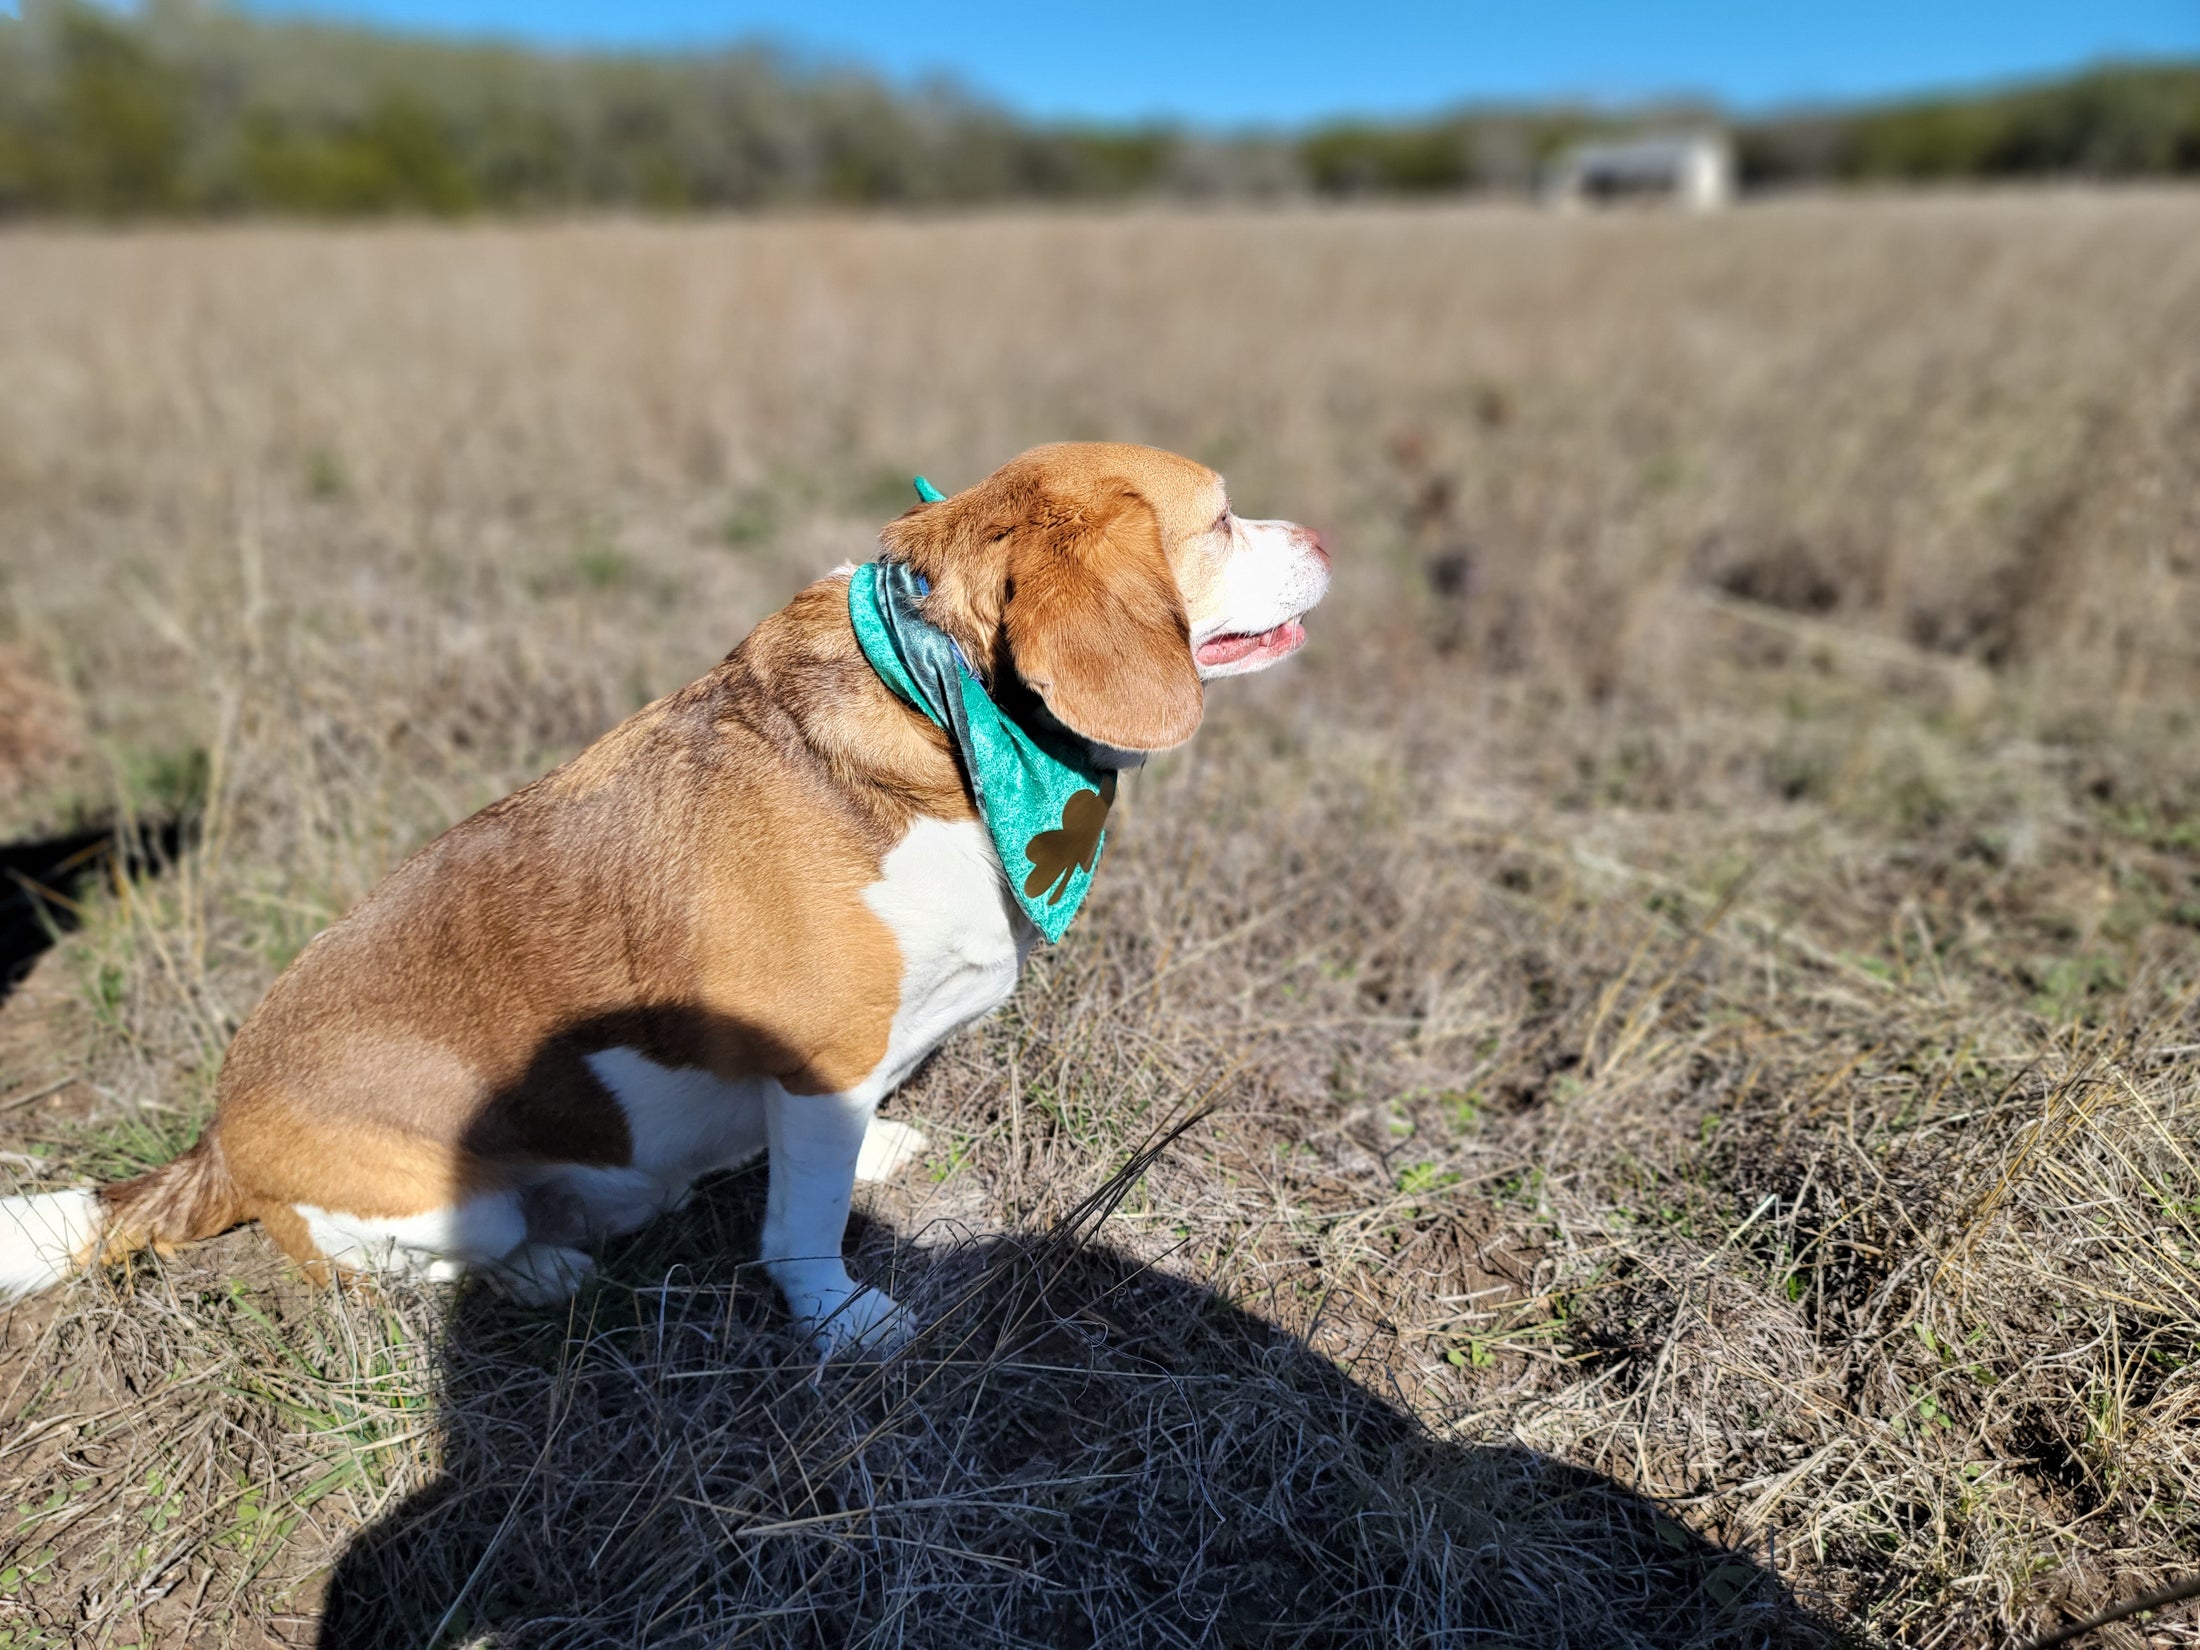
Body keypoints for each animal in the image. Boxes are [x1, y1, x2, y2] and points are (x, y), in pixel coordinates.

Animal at [0, 442, 1328, 1355]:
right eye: (1218, 520)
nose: (1322, 533)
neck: (934, 710)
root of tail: (216, 1144)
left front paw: (875, 1158)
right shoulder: (822, 1059)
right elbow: (801, 1228)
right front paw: (839, 1322)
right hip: (432, 1207)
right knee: (391, 1266)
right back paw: (539, 1272)